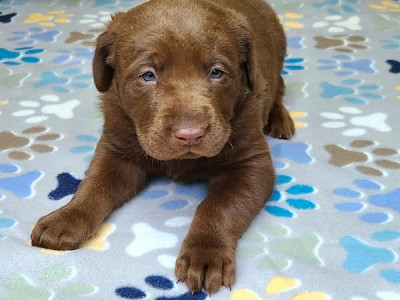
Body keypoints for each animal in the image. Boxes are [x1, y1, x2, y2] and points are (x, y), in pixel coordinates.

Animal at [31, 0, 294, 296]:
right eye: (148, 75)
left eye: (216, 72)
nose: (190, 135)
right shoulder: (116, 149)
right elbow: (94, 185)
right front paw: (66, 217)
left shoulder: (251, 164)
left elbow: (219, 206)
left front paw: (206, 255)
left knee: (279, 89)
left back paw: (280, 120)